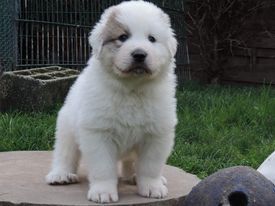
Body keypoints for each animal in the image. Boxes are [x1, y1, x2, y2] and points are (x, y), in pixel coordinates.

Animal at [46, 0, 178, 203]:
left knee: (131, 162)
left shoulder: (157, 133)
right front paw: (103, 192)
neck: (132, 89)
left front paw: (152, 187)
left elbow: (150, 166)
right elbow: (103, 168)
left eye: (152, 39)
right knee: (65, 153)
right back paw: (60, 175)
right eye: (122, 37)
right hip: (67, 127)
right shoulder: (98, 132)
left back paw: (133, 177)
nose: (139, 54)